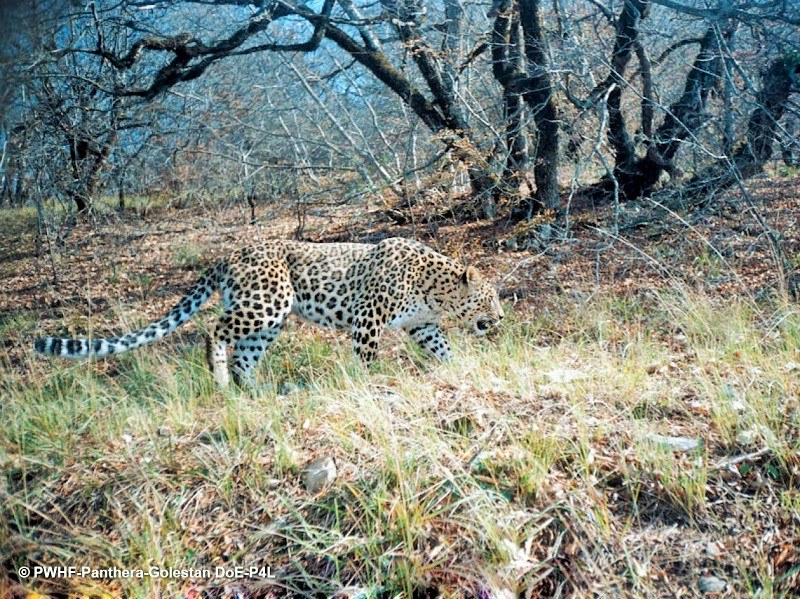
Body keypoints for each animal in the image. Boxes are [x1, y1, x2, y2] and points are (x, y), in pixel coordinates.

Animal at [36, 239, 506, 390]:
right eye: (489, 300)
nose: (501, 320)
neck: (435, 290)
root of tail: (228, 254)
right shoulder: (367, 320)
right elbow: (368, 359)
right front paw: (372, 384)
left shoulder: (422, 326)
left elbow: (444, 349)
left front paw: (461, 368)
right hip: (267, 303)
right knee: (214, 330)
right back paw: (221, 381)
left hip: (269, 323)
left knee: (244, 355)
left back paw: (254, 392)